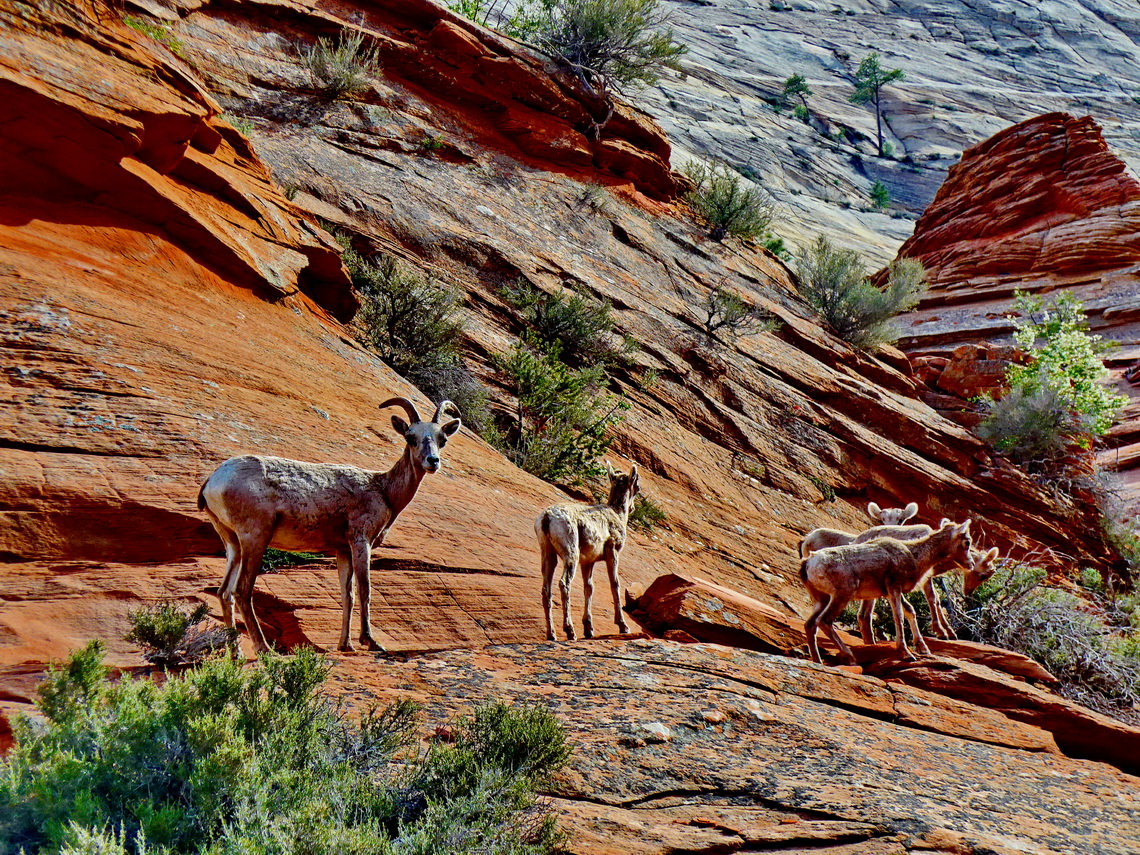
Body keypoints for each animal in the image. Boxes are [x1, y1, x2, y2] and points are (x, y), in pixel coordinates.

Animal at [198, 399, 460, 652]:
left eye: (442, 439)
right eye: (410, 437)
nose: (433, 461)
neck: (384, 490)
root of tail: (212, 481)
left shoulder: (342, 550)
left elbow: (348, 595)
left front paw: (346, 645)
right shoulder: (360, 540)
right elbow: (365, 590)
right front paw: (371, 642)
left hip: (233, 543)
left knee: (224, 593)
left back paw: (237, 654)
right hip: (255, 538)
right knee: (242, 591)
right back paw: (264, 649)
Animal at [535, 462, 638, 642]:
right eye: (637, 488)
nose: (632, 508)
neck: (617, 513)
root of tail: (547, 517)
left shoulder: (588, 562)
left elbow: (589, 588)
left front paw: (589, 630)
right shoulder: (612, 552)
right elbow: (615, 584)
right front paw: (623, 626)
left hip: (548, 554)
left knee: (546, 589)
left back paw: (552, 635)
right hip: (571, 554)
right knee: (564, 583)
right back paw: (570, 631)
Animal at [798, 519, 975, 665]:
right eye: (967, 542)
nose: (971, 564)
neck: (914, 555)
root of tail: (808, 563)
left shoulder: (892, 591)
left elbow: (910, 611)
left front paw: (923, 648)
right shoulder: (893, 588)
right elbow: (899, 616)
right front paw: (907, 654)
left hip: (821, 599)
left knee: (810, 624)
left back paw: (818, 661)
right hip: (842, 595)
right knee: (824, 621)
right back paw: (850, 657)